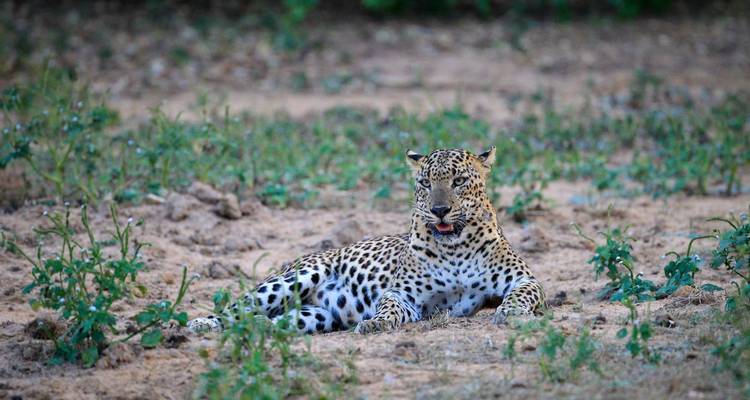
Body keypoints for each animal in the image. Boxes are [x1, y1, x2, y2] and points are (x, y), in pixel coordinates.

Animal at [187, 147, 545, 335]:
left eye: (458, 181)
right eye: (425, 183)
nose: (439, 210)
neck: (455, 247)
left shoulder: (526, 279)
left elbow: (520, 295)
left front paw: (511, 313)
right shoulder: (403, 294)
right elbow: (389, 306)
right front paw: (377, 323)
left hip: (314, 316)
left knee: (264, 322)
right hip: (292, 279)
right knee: (235, 311)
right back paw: (199, 324)